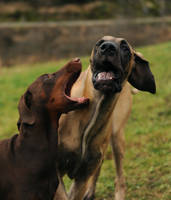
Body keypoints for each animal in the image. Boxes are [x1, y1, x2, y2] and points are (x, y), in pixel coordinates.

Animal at [55, 36, 156, 200]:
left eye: (125, 48)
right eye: (99, 43)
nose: (108, 48)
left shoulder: (82, 176)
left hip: (117, 136)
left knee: (119, 178)